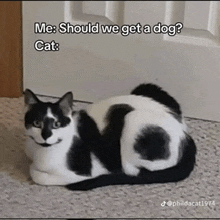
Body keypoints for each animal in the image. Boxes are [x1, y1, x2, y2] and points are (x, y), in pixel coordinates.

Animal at [23, 83, 196, 190]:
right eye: (37, 123)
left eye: (57, 124)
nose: (46, 135)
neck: (39, 152)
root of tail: (184, 133)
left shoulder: (83, 171)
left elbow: (36, 174)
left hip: (132, 120)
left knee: (132, 171)